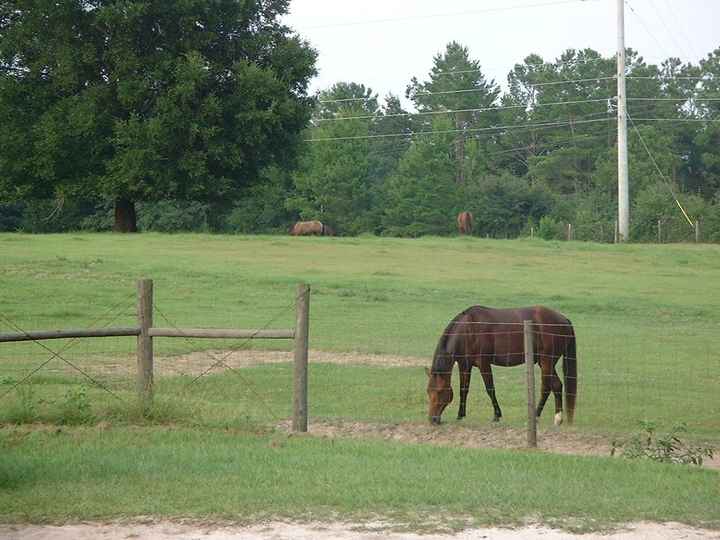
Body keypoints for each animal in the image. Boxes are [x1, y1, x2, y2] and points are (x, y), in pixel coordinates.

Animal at [426, 305, 577, 426]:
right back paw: (552, 417)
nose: (432, 419)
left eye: (439, 391)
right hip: (545, 362)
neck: (468, 330)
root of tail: (564, 320)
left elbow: (490, 389)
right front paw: (460, 415)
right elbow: (463, 390)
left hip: (546, 362)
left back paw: (542, 416)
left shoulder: (484, 363)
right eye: (428, 391)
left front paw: (496, 415)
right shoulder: (465, 365)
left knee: (548, 387)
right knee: (555, 386)